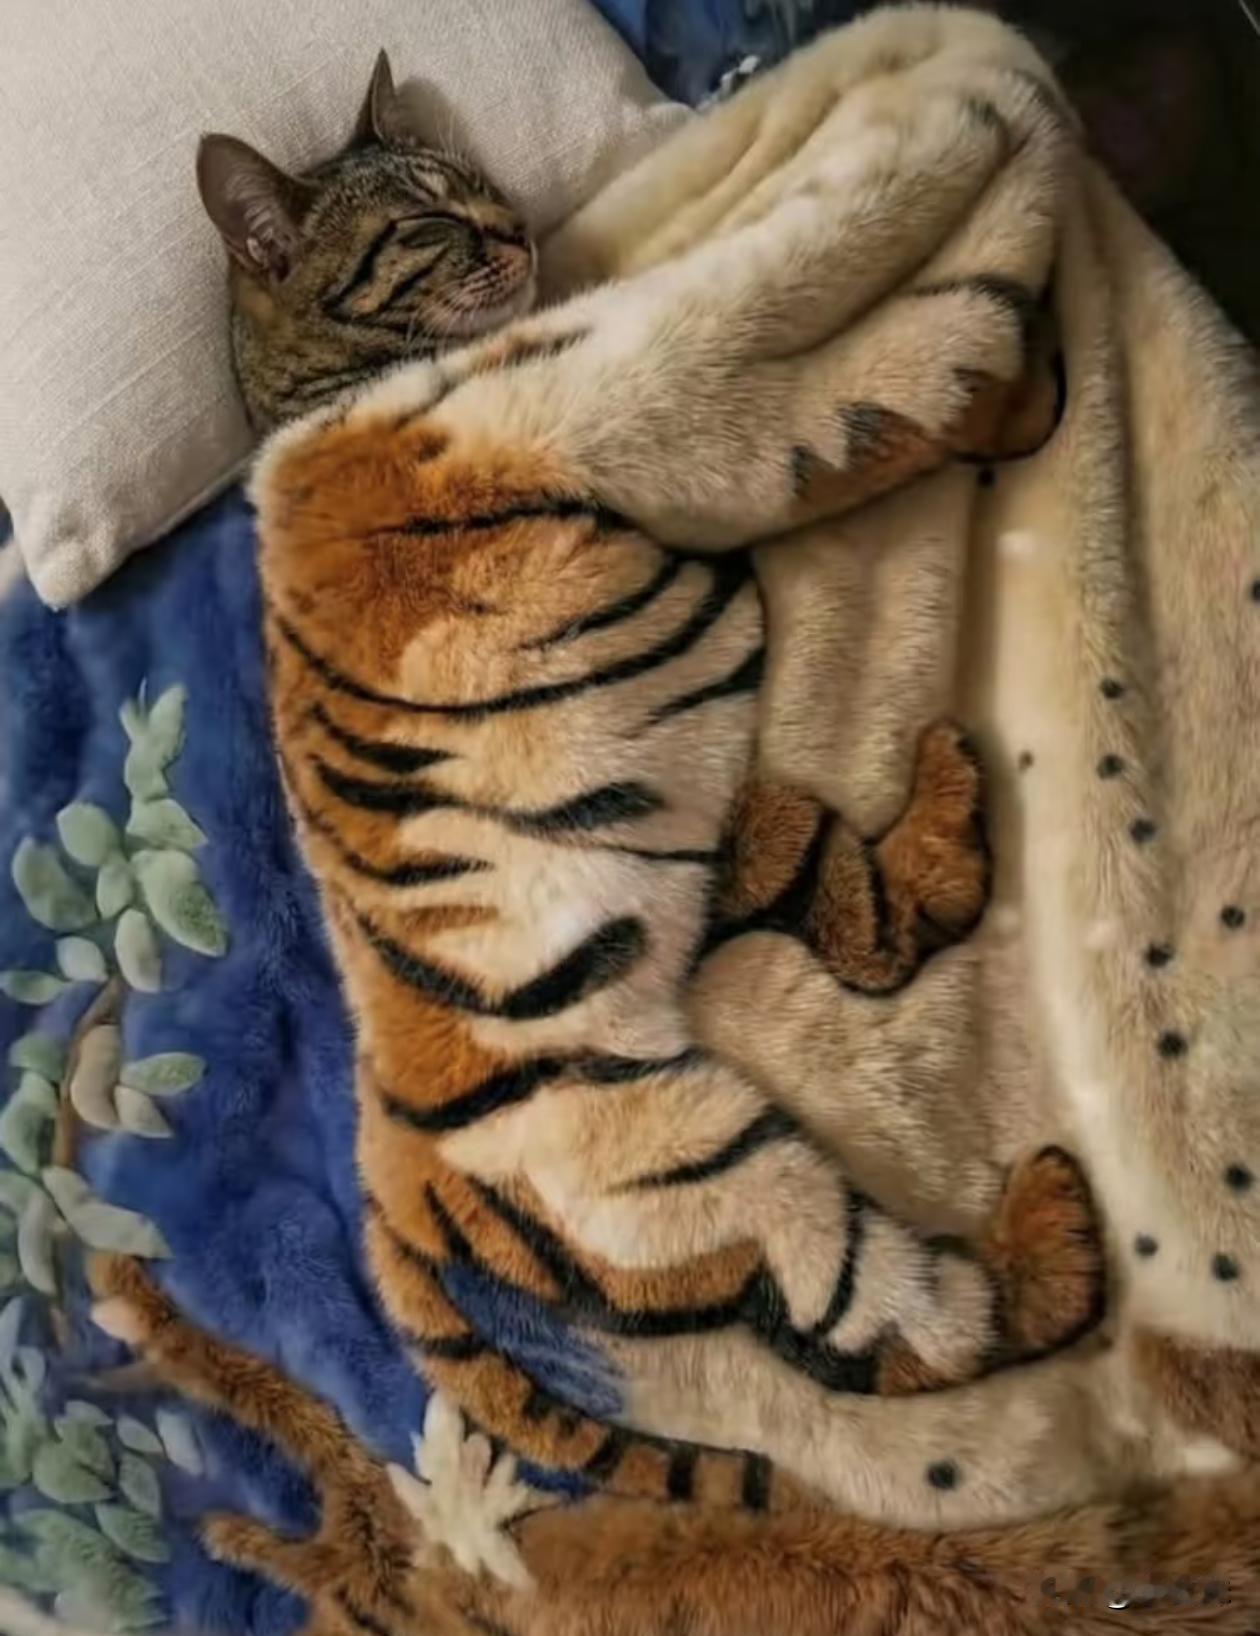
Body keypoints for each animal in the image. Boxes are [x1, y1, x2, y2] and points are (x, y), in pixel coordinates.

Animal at [203, 48, 1105, 1526]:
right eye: (426, 218)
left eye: (479, 181)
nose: (516, 229)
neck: (323, 389)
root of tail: (387, 1185)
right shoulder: (626, 401)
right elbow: (834, 382)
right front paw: (973, 249)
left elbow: (848, 415)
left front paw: (1011, 370)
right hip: (704, 1164)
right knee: (905, 1330)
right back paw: (1054, 1230)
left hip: (728, 838)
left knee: (873, 926)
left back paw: (943, 791)